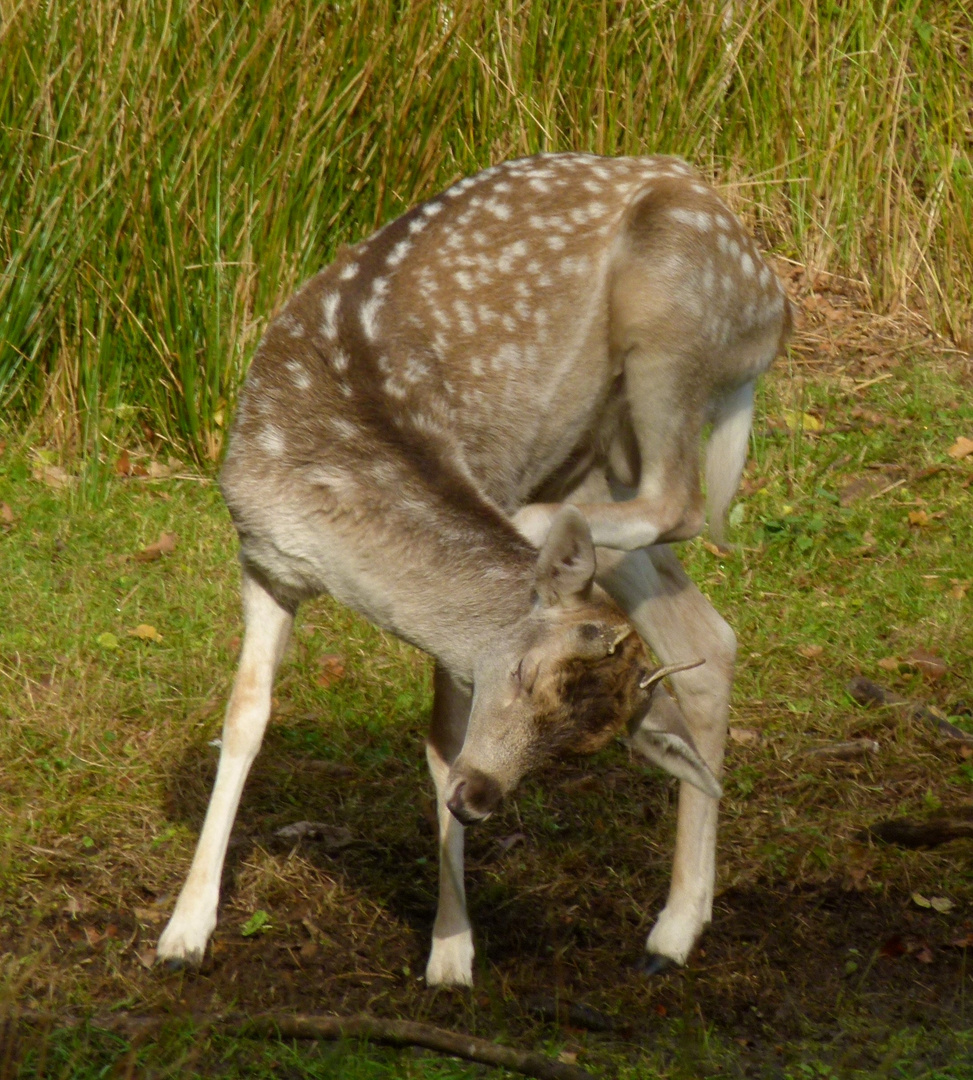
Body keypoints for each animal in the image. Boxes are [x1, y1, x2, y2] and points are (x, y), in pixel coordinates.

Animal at [153, 152, 790, 989]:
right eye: (521, 676)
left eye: (578, 746)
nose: (482, 799)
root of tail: (773, 295)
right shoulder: (261, 556)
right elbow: (245, 719)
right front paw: (184, 929)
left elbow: (440, 744)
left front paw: (451, 953)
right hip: (609, 440)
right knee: (707, 635)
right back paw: (675, 929)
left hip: (672, 327)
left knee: (681, 504)